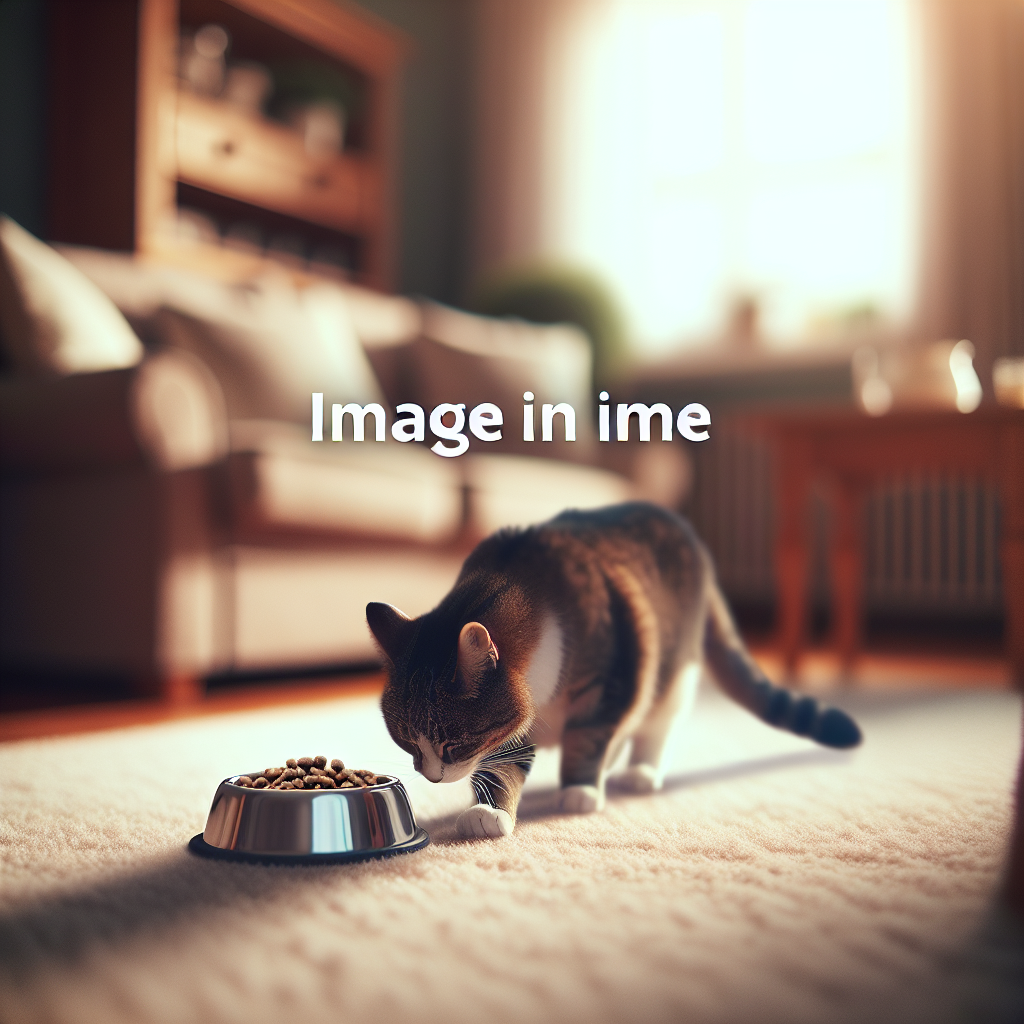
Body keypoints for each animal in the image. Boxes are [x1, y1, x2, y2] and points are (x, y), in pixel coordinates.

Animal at [364, 497, 860, 839]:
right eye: (407, 741)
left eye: (453, 744)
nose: (430, 775)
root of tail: (689, 535)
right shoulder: (516, 721)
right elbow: (502, 765)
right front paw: (492, 811)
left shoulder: (613, 679)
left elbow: (587, 738)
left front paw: (579, 790)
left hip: (673, 674)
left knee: (654, 727)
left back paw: (639, 773)